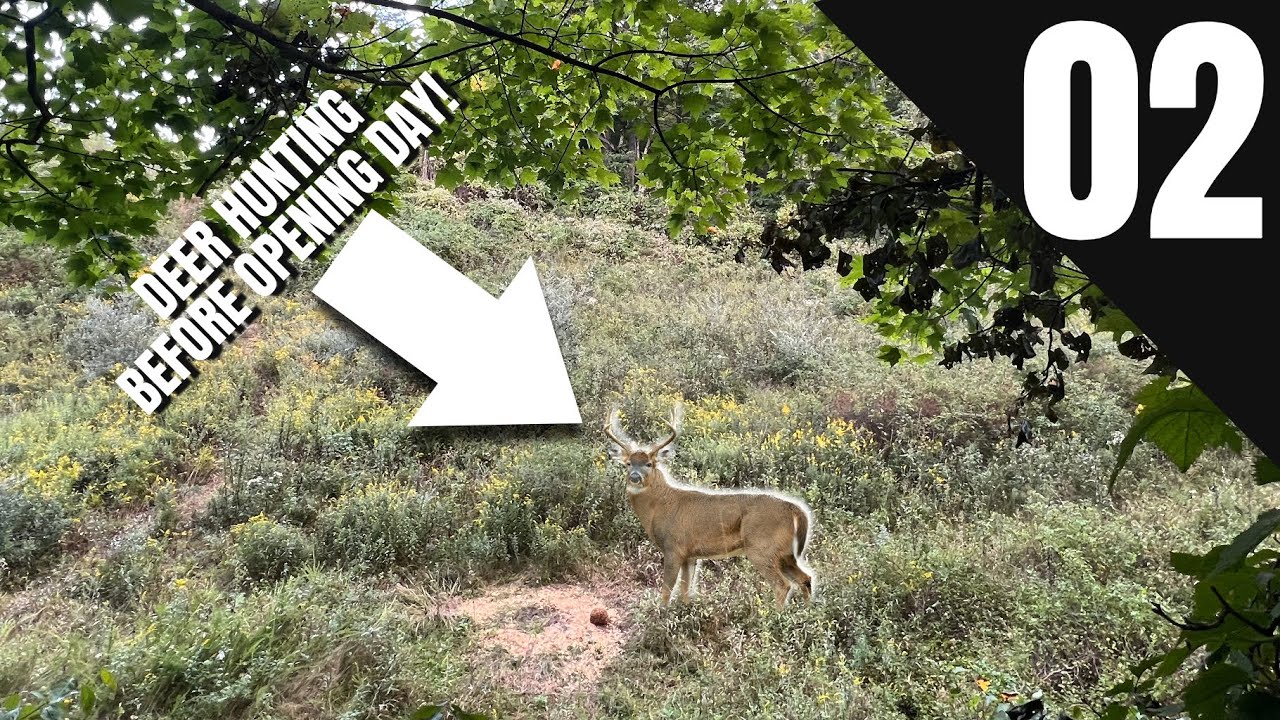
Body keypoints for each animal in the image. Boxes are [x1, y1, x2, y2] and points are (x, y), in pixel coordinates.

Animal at [604, 404, 815, 609]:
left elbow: (666, 590)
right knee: (806, 578)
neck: (660, 505)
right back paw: (806, 612)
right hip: (785, 552)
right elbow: (686, 590)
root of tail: (795, 510)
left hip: (762, 547)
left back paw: (775, 615)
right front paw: (686, 611)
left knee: (783, 585)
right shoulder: (690, 555)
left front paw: (661, 614)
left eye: (649, 463)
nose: (635, 477)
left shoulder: (673, 547)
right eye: (628, 463)